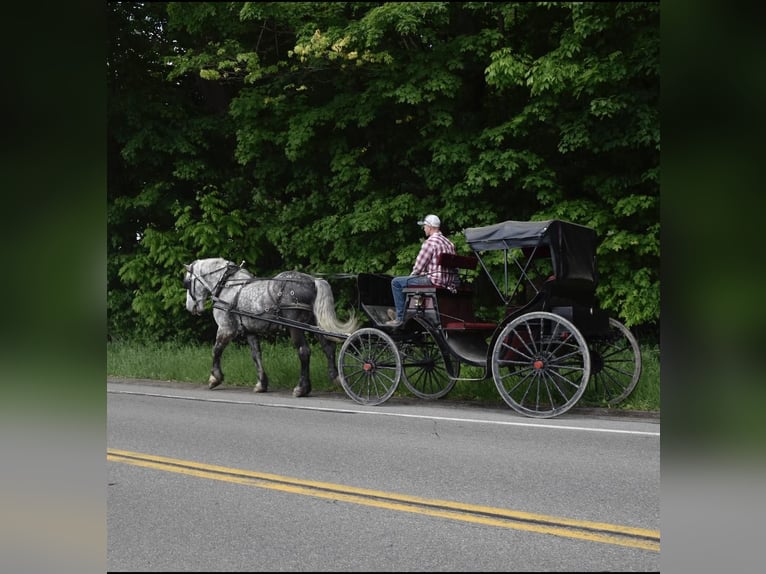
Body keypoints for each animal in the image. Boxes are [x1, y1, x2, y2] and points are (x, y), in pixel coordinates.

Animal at [184, 258, 362, 398]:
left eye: (187, 282)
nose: (190, 307)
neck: (227, 286)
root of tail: (312, 280)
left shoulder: (226, 329)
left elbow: (216, 350)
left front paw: (215, 378)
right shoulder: (250, 332)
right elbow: (256, 356)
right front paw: (261, 384)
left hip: (296, 327)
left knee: (304, 351)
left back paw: (301, 388)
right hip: (315, 323)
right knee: (328, 348)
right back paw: (336, 378)